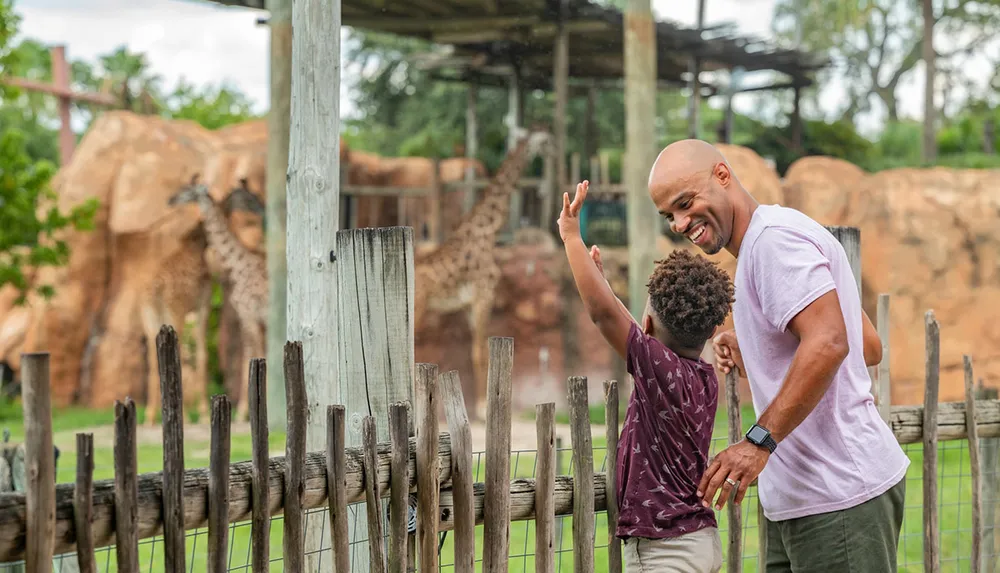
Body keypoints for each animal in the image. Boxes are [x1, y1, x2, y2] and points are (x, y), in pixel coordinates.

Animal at [169, 177, 270, 422]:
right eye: (250, 196)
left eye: (187, 191)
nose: (170, 199)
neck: (238, 265)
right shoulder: (253, 318)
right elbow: (253, 355)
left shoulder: (248, 314)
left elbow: (252, 355)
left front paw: (243, 413)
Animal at [414, 125, 556, 418]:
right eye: (545, 140)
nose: (556, 149)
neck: (488, 231)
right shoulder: (484, 293)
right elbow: (480, 351)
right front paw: (481, 407)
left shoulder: (470, 303)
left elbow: (475, 350)